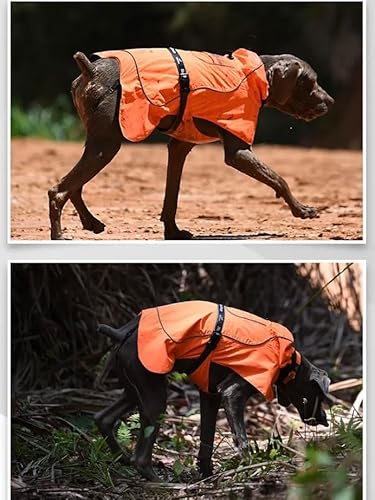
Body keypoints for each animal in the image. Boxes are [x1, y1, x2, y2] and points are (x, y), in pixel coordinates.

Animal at [47, 46, 334, 239]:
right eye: (310, 81)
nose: (330, 101)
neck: (255, 75)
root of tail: (90, 70)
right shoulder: (238, 151)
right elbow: (279, 179)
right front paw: (302, 210)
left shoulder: (180, 147)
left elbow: (171, 197)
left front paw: (173, 231)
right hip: (107, 144)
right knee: (58, 190)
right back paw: (60, 235)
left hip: (99, 144)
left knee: (74, 186)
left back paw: (91, 223)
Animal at [94, 300, 334, 480]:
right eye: (318, 395)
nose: (324, 420)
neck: (290, 363)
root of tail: (121, 333)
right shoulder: (232, 393)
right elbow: (242, 440)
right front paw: (249, 469)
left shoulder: (210, 394)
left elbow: (206, 441)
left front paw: (207, 475)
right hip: (154, 397)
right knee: (141, 458)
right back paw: (160, 482)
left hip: (135, 390)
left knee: (102, 418)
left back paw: (122, 458)